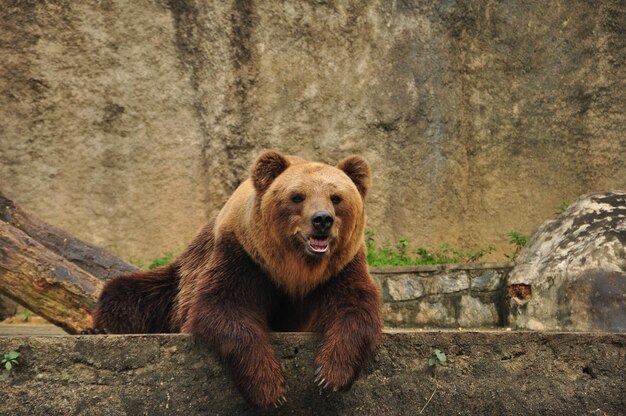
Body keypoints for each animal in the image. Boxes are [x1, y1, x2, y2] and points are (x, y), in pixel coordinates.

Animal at [91, 151, 382, 408]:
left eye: (336, 197)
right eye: (297, 196)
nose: (322, 219)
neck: (296, 268)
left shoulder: (341, 267)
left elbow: (354, 308)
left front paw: (329, 375)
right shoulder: (243, 256)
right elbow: (225, 307)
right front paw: (270, 388)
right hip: (177, 283)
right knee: (124, 293)